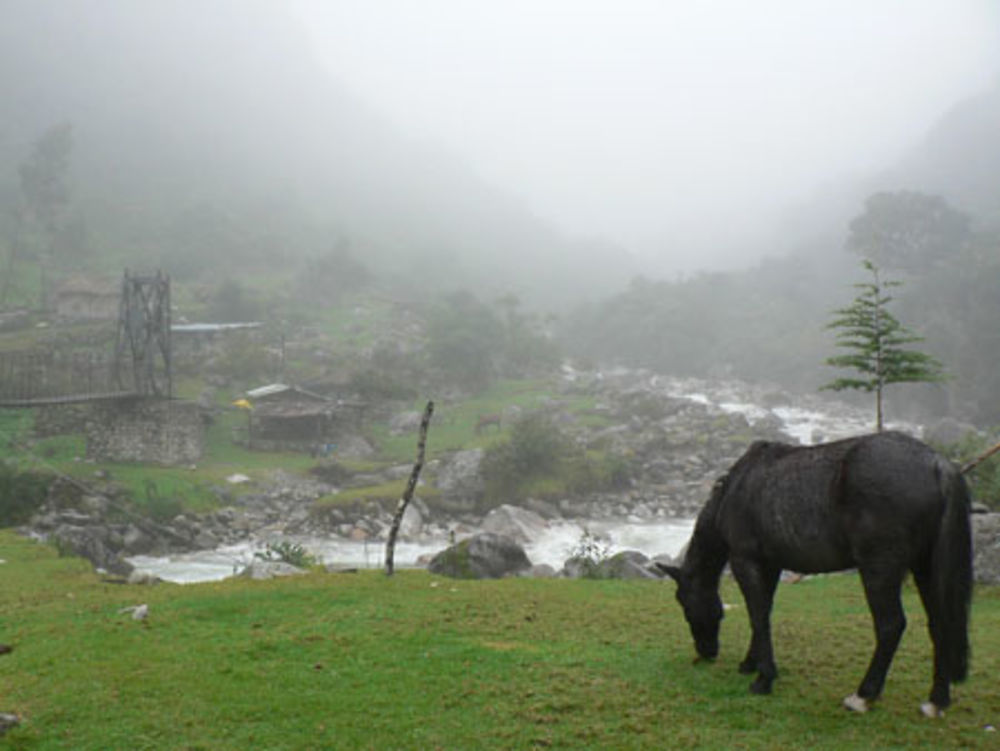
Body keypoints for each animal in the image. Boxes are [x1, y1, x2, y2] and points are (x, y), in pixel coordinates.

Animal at [660, 428, 972, 716]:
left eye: (685, 605)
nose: (706, 651)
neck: (737, 486)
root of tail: (936, 464)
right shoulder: (770, 565)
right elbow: (763, 613)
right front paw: (752, 663)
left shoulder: (745, 561)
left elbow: (757, 616)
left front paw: (763, 679)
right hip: (924, 568)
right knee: (939, 623)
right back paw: (936, 699)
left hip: (879, 569)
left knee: (890, 625)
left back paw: (863, 695)